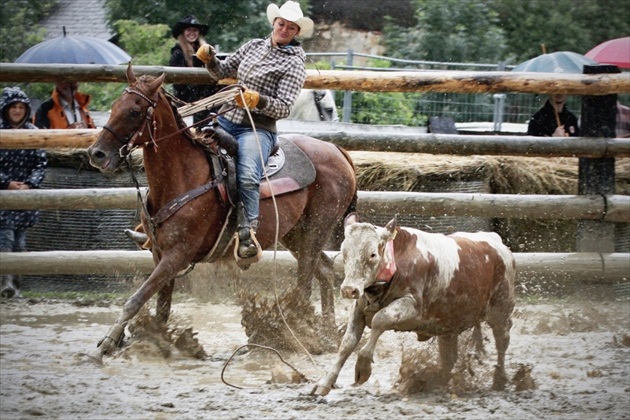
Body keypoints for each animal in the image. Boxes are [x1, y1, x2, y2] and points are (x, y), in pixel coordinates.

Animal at [86, 64, 358, 362]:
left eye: (134, 111)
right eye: (114, 106)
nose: (96, 154)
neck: (185, 175)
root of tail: (337, 150)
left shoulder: (177, 255)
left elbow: (136, 299)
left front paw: (105, 345)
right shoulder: (160, 253)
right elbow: (161, 308)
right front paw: (151, 341)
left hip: (315, 229)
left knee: (306, 281)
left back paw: (301, 334)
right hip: (294, 233)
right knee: (325, 271)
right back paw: (328, 333)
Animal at [314, 215, 516, 396]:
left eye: (372, 254)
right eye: (344, 253)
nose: (349, 290)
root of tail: (496, 241)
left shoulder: (412, 307)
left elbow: (380, 319)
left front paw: (363, 368)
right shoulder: (359, 309)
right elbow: (347, 343)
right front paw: (324, 383)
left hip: (501, 311)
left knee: (502, 342)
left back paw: (499, 379)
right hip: (448, 325)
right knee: (449, 357)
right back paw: (438, 383)